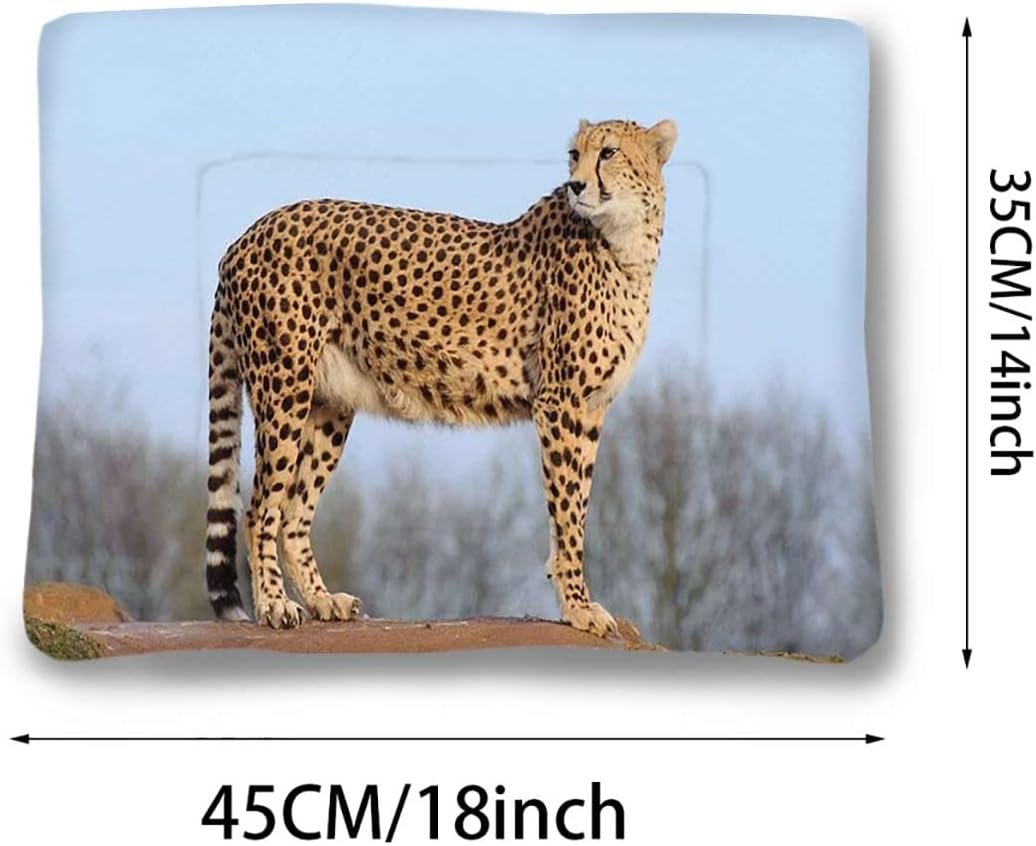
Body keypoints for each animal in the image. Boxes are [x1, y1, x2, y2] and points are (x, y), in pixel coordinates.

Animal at [205, 117, 677, 636]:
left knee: (293, 511)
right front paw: (577, 605)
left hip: (328, 406)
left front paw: (571, 595)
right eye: (575, 155)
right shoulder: (560, 402)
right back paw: (274, 604)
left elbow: (575, 507)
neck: (625, 242)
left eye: (609, 152)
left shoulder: (591, 408)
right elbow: (568, 510)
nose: (575, 185)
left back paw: (321, 599)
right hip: (284, 389)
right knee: (259, 509)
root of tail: (246, 235)